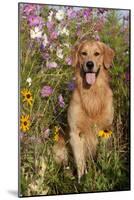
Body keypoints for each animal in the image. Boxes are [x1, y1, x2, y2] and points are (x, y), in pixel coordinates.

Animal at [53, 39, 114, 183]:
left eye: (97, 53)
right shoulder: (76, 133)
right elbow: (80, 162)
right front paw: (82, 180)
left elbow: (102, 157)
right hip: (59, 147)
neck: (91, 94)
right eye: (83, 53)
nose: (89, 64)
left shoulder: (106, 130)